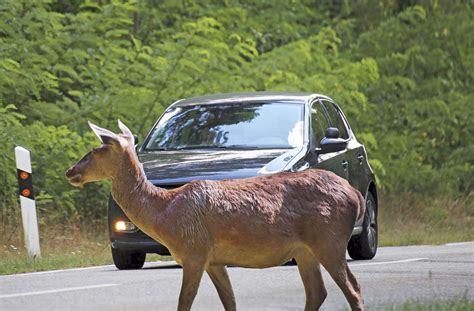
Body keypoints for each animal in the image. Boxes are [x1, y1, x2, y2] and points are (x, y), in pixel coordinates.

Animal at [65, 120, 364, 310]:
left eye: (94, 151)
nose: (70, 171)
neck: (165, 214)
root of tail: (356, 195)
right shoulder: (214, 260)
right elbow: (230, 302)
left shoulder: (194, 251)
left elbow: (183, 303)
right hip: (304, 250)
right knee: (317, 293)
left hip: (329, 238)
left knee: (353, 289)